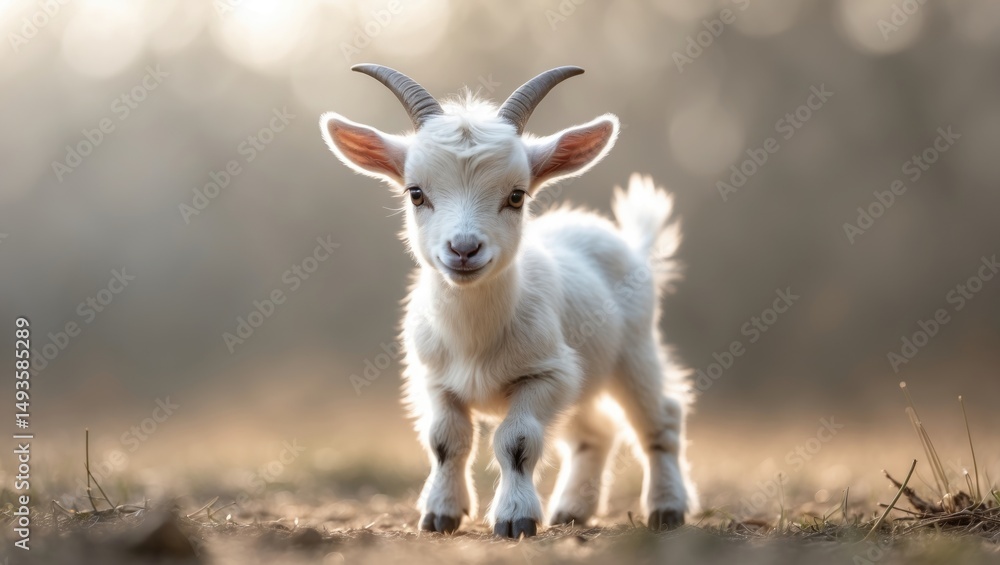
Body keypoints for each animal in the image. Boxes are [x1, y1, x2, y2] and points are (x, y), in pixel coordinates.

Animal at [320, 65, 696, 538]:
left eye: (516, 196)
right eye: (415, 193)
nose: (464, 249)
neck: (474, 338)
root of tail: (631, 243)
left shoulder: (546, 374)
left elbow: (516, 441)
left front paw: (515, 518)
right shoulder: (435, 380)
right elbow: (446, 441)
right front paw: (440, 514)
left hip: (634, 351)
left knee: (660, 419)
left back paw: (667, 509)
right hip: (586, 377)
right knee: (596, 431)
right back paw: (572, 510)